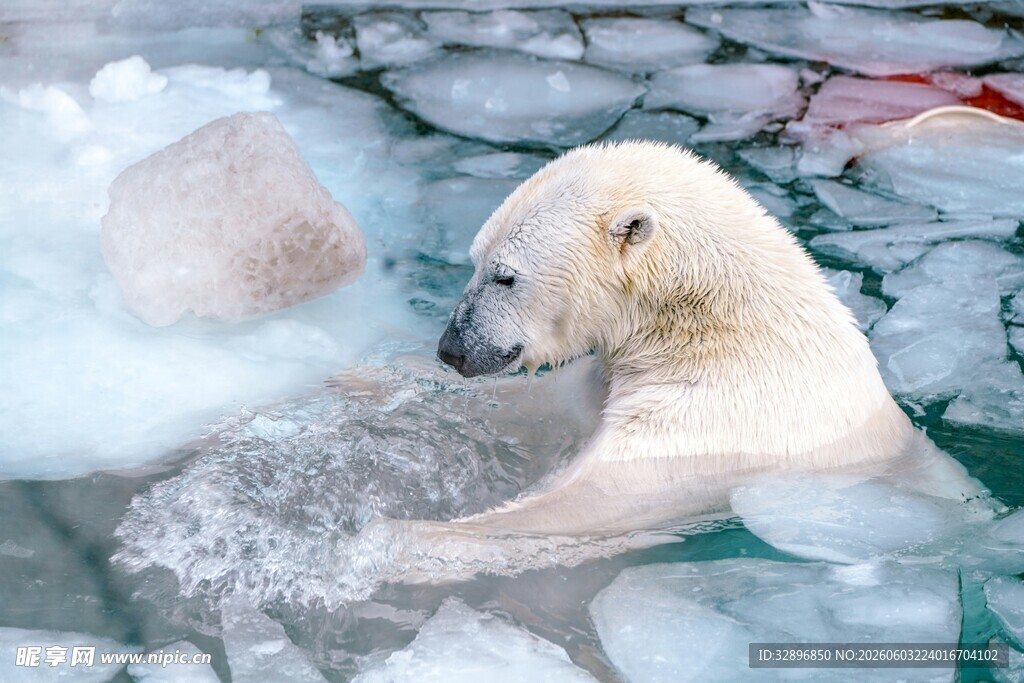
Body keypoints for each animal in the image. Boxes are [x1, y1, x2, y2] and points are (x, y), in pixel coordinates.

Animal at [426, 140, 983, 538]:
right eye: (475, 260)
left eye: (505, 276)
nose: (452, 349)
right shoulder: (604, 381)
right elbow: (541, 407)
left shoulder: (714, 420)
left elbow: (594, 497)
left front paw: (413, 540)